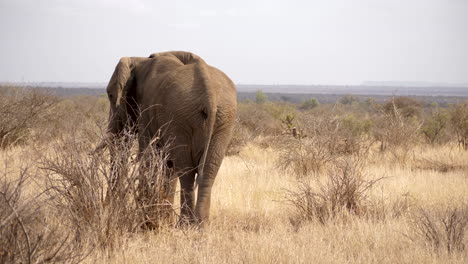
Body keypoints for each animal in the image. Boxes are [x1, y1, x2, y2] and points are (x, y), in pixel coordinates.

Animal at [98, 51, 238, 225]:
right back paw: (199, 224)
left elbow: (149, 157)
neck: (139, 60)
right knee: (208, 170)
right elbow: (166, 163)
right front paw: (161, 219)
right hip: (223, 120)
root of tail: (210, 95)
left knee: (186, 170)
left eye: (111, 95)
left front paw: (148, 221)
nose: (106, 209)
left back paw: (185, 224)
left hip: (182, 117)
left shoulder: (148, 110)